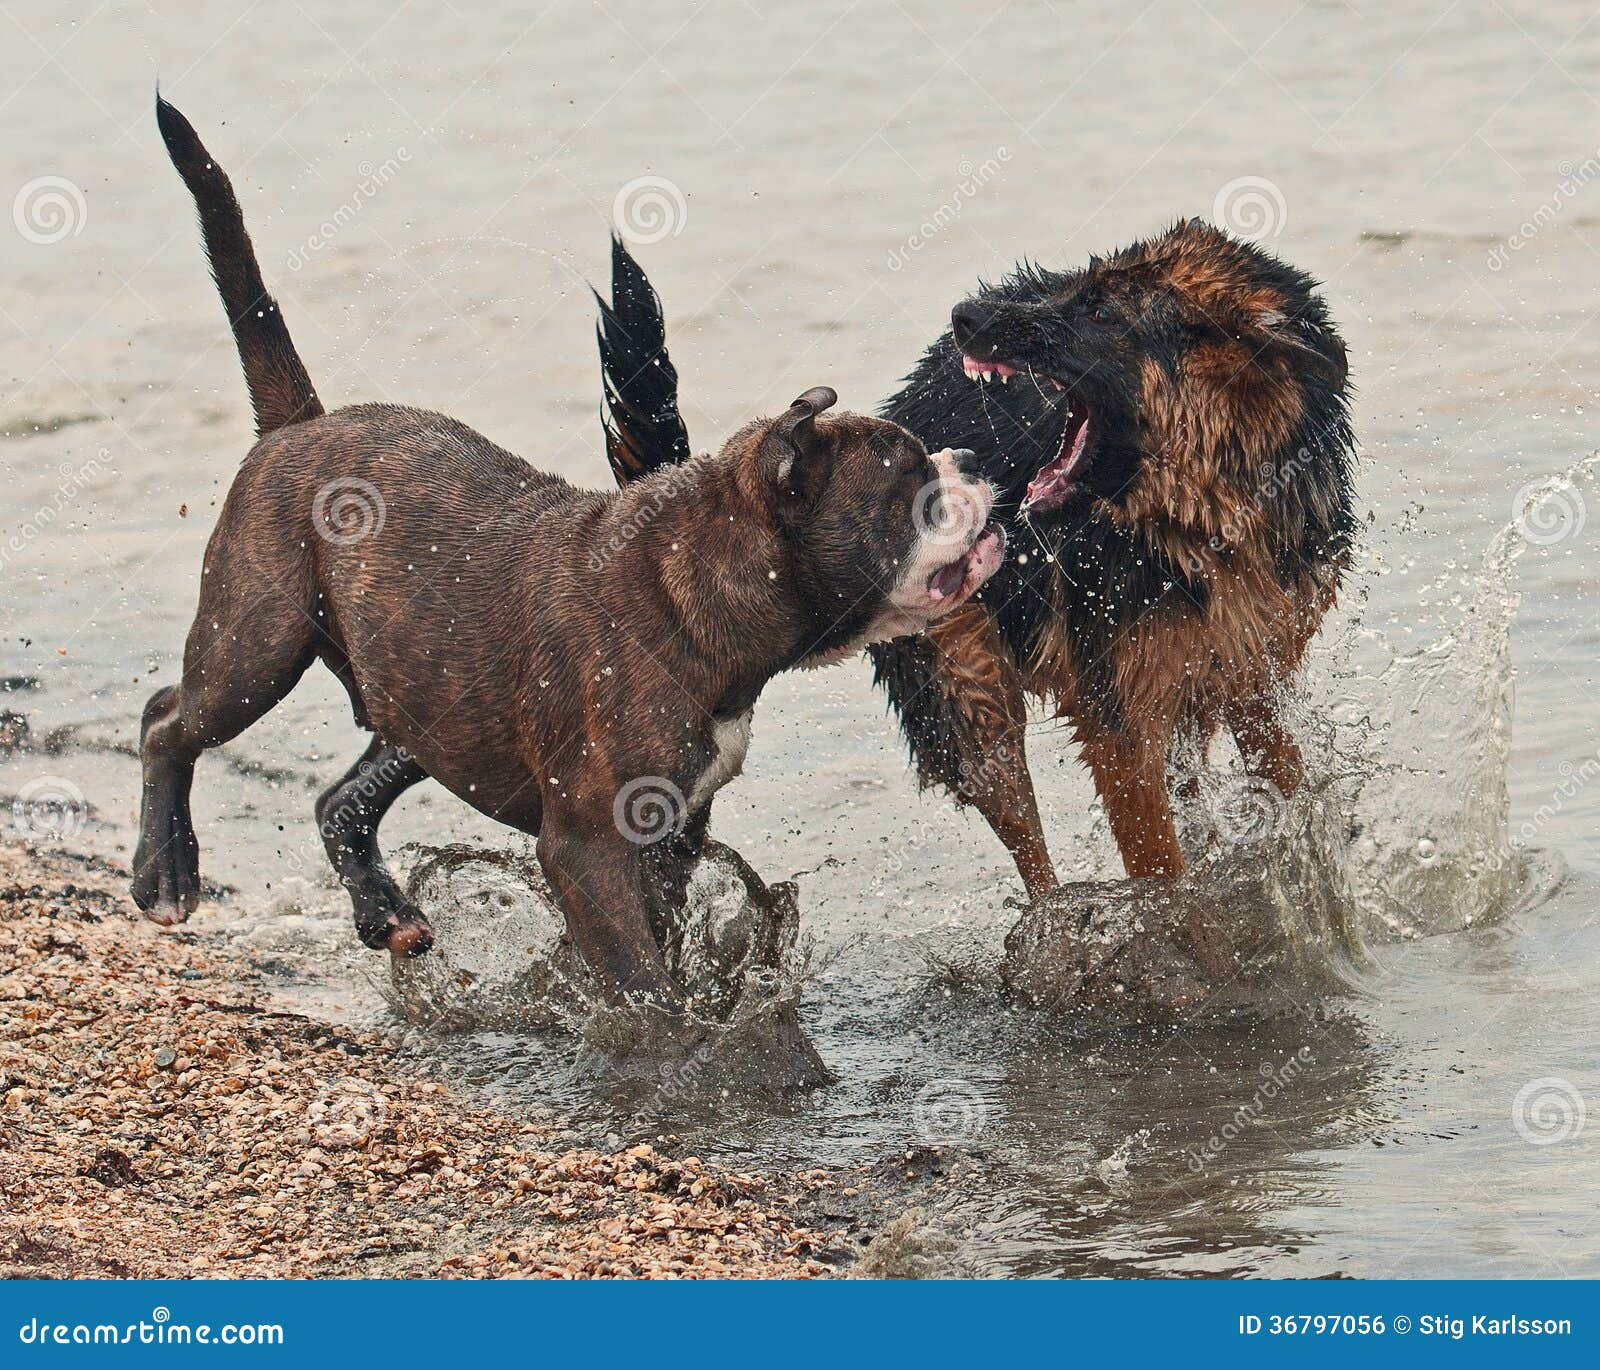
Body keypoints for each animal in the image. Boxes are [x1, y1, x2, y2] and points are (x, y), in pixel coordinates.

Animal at [131, 101, 998, 1005]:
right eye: (910, 480)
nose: (971, 458)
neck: (686, 590)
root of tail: (300, 425)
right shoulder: (588, 850)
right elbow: (641, 978)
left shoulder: (670, 836)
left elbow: (661, 940)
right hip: (254, 649)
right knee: (169, 721)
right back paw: (165, 877)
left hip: (422, 704)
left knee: (341, 799)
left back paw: (383, 911)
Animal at [595, 224, 1356, 934]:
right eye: (1078, 287)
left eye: (1102, 311)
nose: (965, 313)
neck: (1205, 519)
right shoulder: (1121, 723)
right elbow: (1160, 866)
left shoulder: (1254, 677)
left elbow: (1288, 788)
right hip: (968, 685)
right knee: (1026, 839)